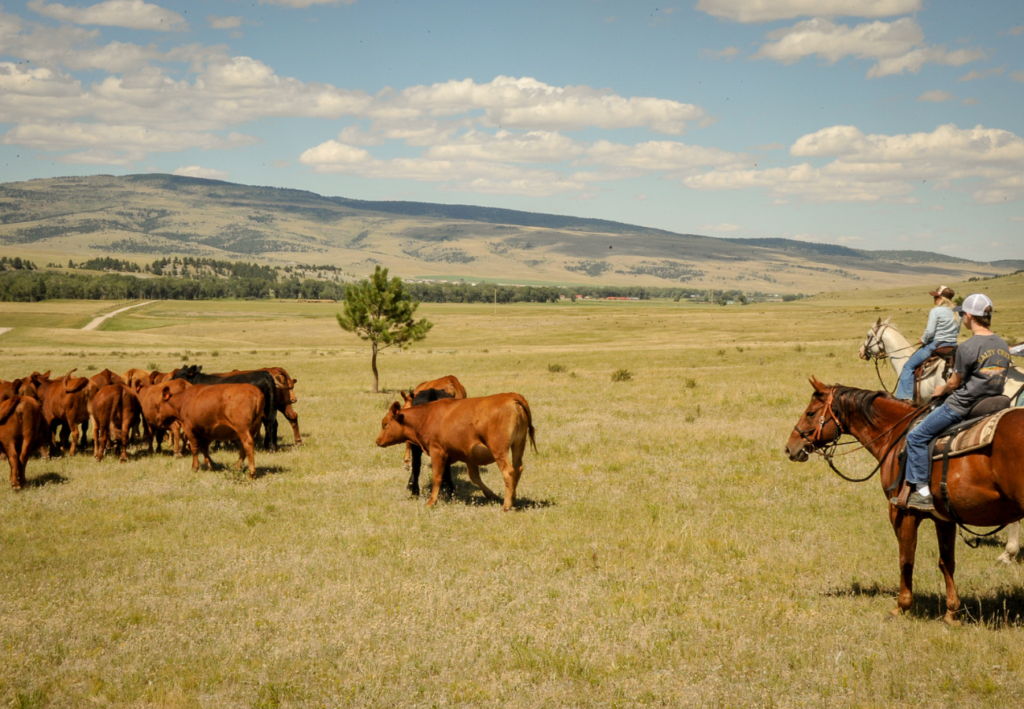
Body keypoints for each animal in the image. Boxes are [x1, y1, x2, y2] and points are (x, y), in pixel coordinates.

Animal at [376, 393, 536, 510]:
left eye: (385, 424)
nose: (377, 441)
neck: (426, 416)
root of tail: (511, 396)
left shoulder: (437, 452)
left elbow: (438, 477)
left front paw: (432, 501)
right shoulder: (468, 455)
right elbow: (473, 477)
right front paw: (491, 495)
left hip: (499, 451)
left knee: (508, 472)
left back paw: (506, 506)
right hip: (518, 445)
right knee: (517, 469)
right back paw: (513, 499)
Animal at [782, 379, 1024, 622]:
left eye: (811, 413)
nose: (789, 447)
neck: (897, 435)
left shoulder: (901, 512)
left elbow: (906, 559)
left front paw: (901, 606)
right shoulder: (944, 519)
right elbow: (947, 562)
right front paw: (951, 613)